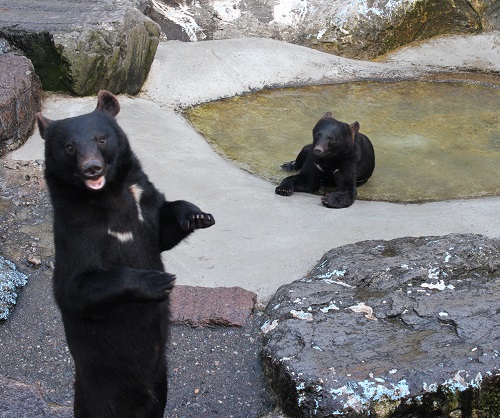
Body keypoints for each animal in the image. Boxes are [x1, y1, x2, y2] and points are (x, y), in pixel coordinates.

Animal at [36, 90, 214, 418]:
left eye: (101, 138)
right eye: (69, 147)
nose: (92, 168)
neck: (110, 196)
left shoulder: (145, 203)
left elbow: (163, 230)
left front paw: (197, 215)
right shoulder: (75, 230)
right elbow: (74, 287)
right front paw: (158, 282)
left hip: (161, 383)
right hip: (98, 394)